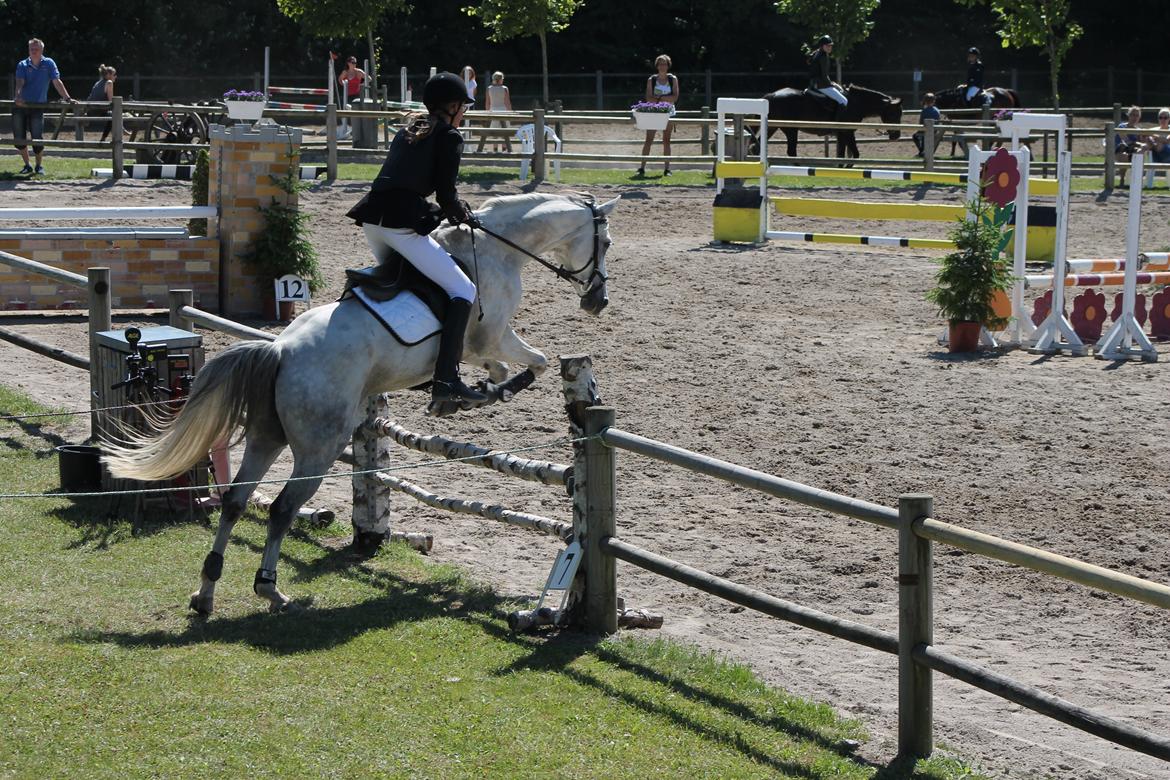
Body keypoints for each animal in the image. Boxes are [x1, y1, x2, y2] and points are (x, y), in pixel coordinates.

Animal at [101, 194, 617, 617]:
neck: (498, 247)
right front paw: (482, 393)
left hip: (268, 437)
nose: (598, 301)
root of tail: (280, 350)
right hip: (318, 448)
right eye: (606, 242)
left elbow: (501, 367)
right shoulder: (488, 336)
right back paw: (270, 590)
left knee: (235, 501)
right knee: (282, 509)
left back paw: (206, 592)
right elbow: (535, 361)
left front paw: (461, 396)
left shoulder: (484, 346)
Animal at [758, 84, 903, 159]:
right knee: (791, 152)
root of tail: (772, 95)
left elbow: (843, 155)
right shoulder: (847, 132)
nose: (896, 136)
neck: (856, 103)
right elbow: (854, 154)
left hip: (772, 128)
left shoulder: (843, 134)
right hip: (791, 130)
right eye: (894, 114)